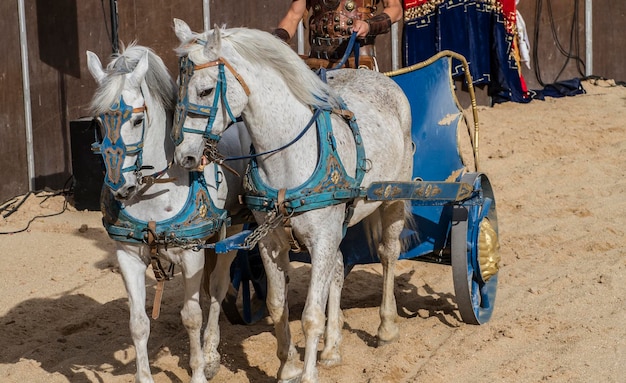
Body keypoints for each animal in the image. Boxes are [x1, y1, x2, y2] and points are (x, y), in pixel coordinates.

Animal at [86, 43, 250, 382]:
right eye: (98, 120)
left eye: (137, 121)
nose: (119, 187)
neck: (154, 191)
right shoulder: (128, 256)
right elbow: (138, 323)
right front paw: (144, 376)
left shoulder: (192, 254)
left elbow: (191, 316)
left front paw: (198, 372)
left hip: (233, 231)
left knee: (217, 289)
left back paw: (211, 354)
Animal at [171, 20, 414, 383]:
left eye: (204, 91)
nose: (184, 156)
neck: (287, 155)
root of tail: (384, 80)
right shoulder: (271, 240)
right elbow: (276, 303)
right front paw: (288, 366)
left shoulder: (322, 237)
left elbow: (311, 315)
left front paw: (307, 374)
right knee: (338, 267)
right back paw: (332, 349)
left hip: (392, 200)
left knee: (388, 253)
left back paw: (386, 327)